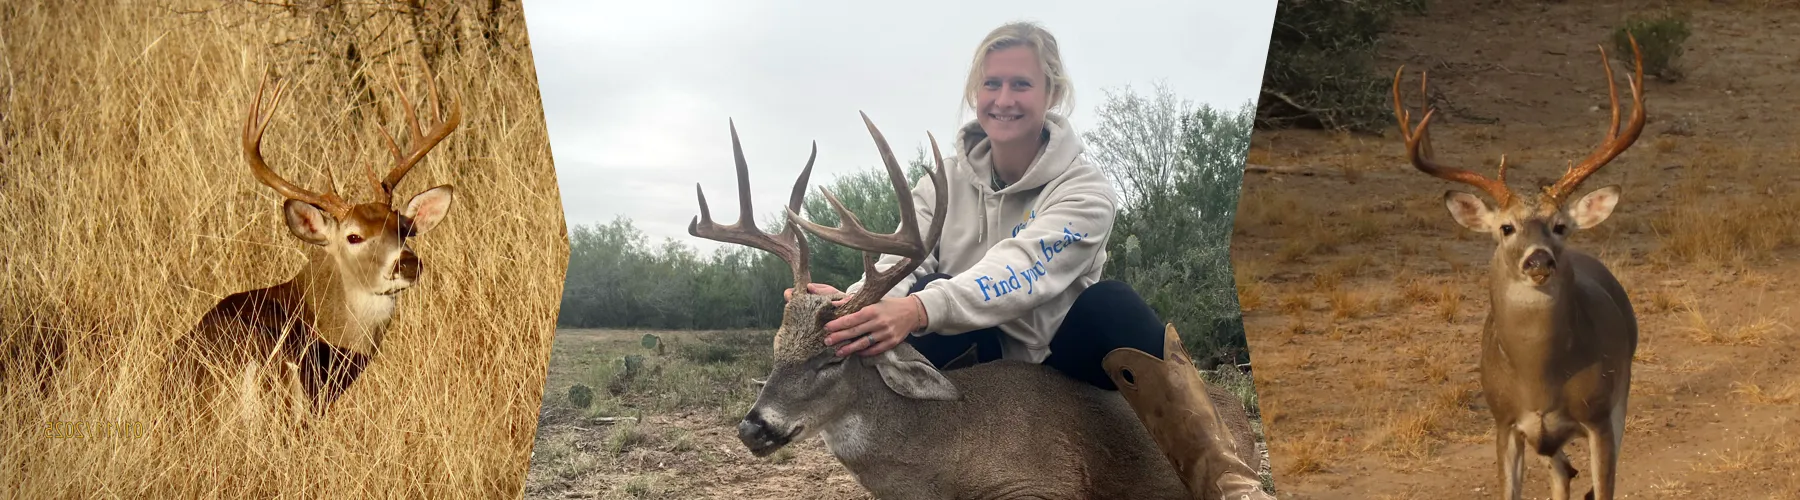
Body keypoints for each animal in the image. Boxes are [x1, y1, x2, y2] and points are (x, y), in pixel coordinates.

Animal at [1391, 36, 1644, 500]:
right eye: (1505, 227)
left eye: (1560, 226)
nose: (1539, 259)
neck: (1540, 379)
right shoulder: (1504, 422)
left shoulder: (1600, 416)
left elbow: (1604, 487)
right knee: (1562, 473)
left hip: (1623, 390)